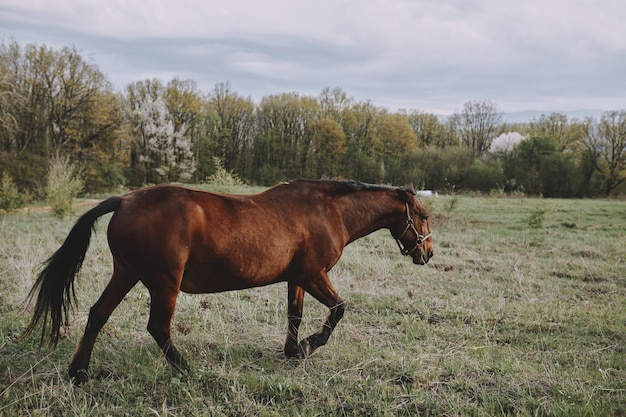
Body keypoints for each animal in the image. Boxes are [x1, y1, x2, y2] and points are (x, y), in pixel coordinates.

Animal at [22, 179, 432, 384]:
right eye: (424, 215)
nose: (427, 253)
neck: (328, 210)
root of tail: (124, 201)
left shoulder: (298, 278)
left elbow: (294, 316)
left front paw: (293, 351)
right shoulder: (315, 275)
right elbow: (338, 309)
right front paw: (310, 346)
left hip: (126, 273)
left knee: (98, 314)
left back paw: (79, 373)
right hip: (164, 283)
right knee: (158, 327)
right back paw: (188, 370)